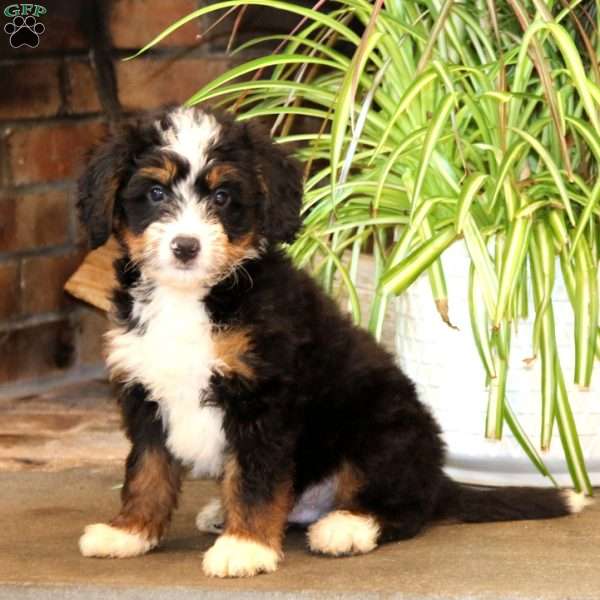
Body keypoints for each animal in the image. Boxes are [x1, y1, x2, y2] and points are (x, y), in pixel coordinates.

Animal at [77, 106, 588, 576]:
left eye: (222, 196)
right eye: (155, 192)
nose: (186, 246)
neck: (193, 298)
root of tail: (437, 476)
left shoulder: (265, 397)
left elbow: (255, 479)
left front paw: (246, 547)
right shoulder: (145, 392)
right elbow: (146, 472)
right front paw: (130, 532)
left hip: (381, 428)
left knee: (405, 509)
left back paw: (347, 527)